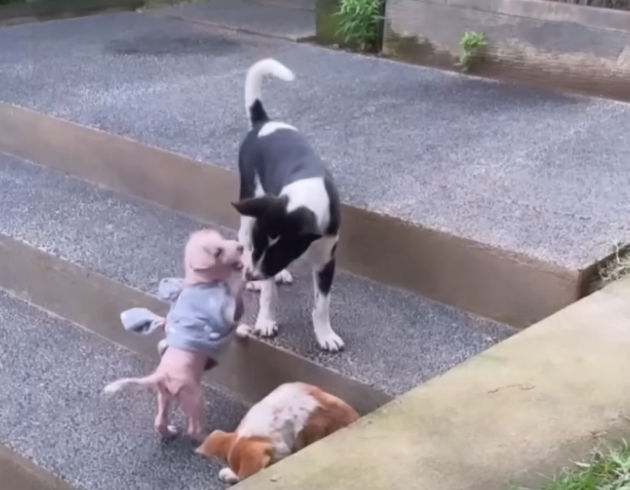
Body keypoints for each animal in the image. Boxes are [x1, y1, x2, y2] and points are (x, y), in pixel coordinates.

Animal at [104, 232, 252, 442]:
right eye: (218, 252)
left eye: (223, 240)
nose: (241, 247)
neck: (199, 282)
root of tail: (162, 375)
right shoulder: (227, 309)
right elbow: (236, 306)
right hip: (195, 397)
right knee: (194, 430)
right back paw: (210, 437)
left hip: (164, 396)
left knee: (159, 421)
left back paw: (169, 432)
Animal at [232, 60, 344, 352]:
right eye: (260, 247)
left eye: (280, 253)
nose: (250, 275)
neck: (305, 197)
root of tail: (264, 122)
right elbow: (269, 294)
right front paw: (265, 321)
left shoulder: (326, 260)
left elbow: (322, 304)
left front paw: (325, 334)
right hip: (249, 196)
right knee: (241, 235)